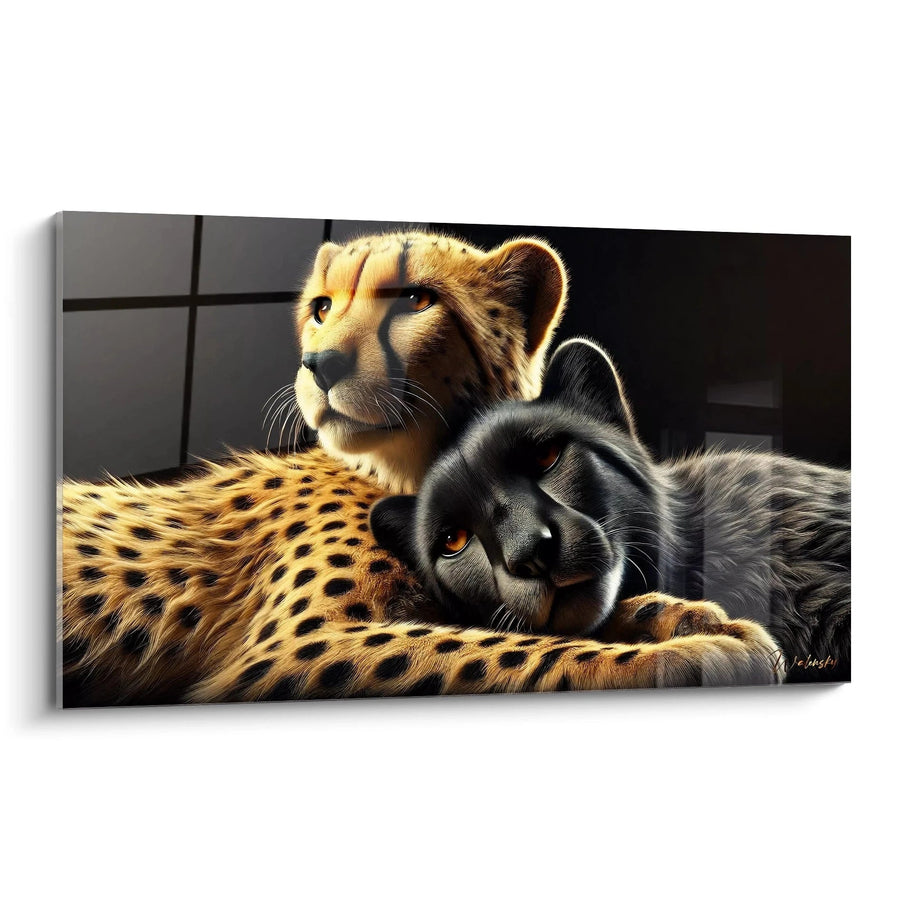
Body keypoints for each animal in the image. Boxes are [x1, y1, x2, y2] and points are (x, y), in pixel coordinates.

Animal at [59, 231, 783, 706]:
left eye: (413, 299)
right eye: (321, 308)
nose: (318, 363)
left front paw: (687, 619)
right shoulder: (293, 647)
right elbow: (505, 649)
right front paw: (693, 650)